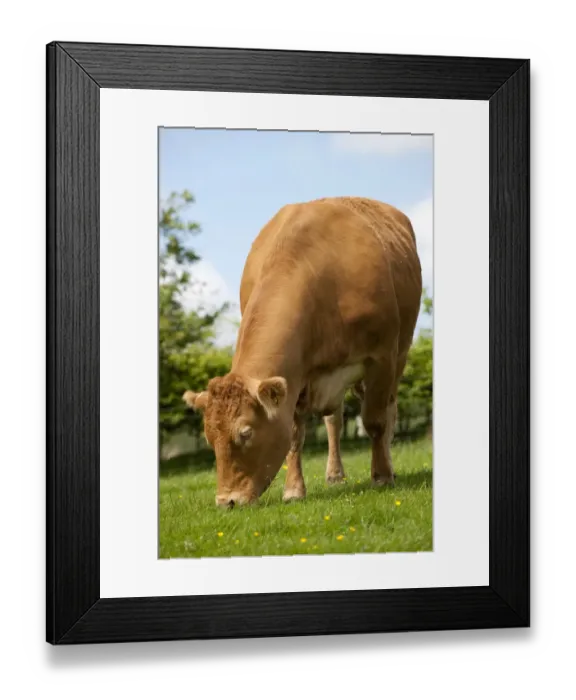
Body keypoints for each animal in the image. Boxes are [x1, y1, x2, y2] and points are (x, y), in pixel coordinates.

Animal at [183, 196, 422, 508]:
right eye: (210, 438)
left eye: (246, 432)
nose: (226, 502)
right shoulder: (295, 376)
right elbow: (295, 436)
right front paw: (294, 490)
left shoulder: (381, 356)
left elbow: (375, 421)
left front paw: (381, 476)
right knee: (334, 421)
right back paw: (334, 473)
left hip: (400, 353)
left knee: (388, 410)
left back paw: (387, 464)